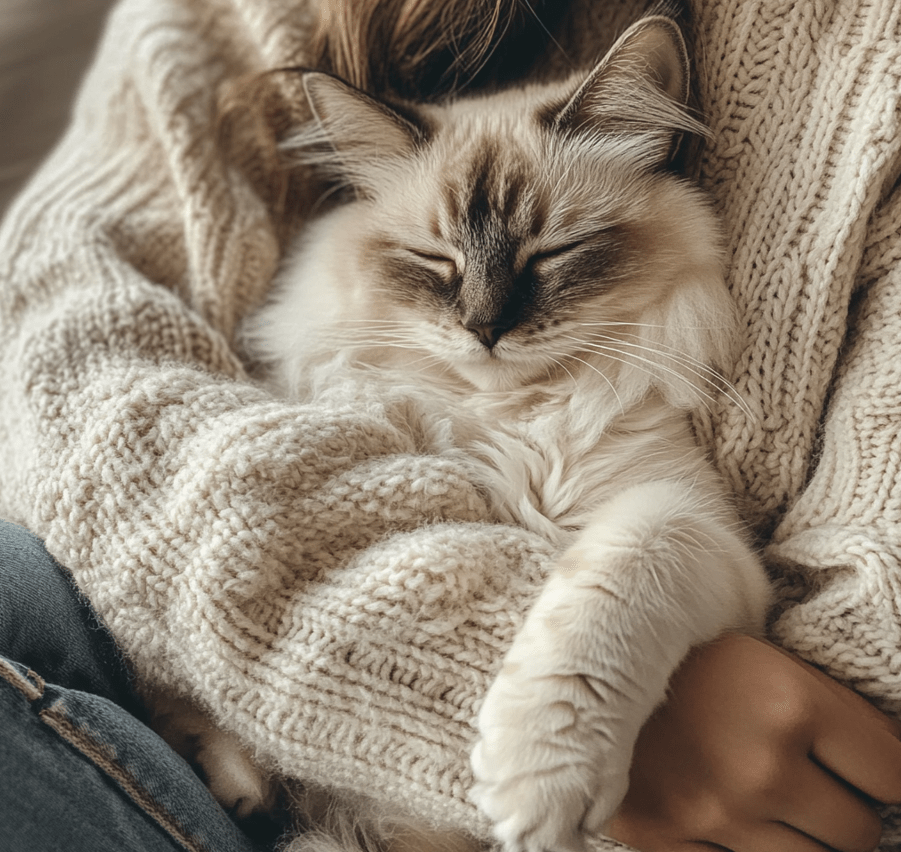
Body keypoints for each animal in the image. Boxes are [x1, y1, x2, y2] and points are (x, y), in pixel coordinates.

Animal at [172, 13, 768, 852]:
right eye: (436, 260)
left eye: (550, 253)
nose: (484, 328)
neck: (512, 417)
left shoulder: (693, 528)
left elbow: (604, 592)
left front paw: (533, 782)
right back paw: (237, 781)